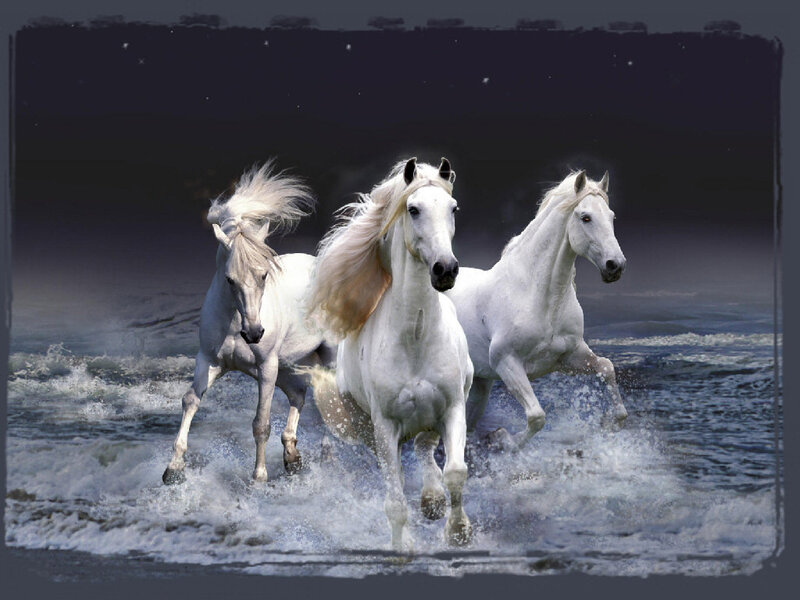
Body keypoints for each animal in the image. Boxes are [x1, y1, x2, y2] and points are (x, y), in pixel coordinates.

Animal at [162, 162, 337, 485]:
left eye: (264, 274)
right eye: (230, 279)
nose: (254, 333)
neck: (234, 324)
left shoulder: (266, 367)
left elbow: (261, 423)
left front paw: (259, 478)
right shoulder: (210, 360)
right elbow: (190, 400)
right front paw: (173, 469)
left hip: (325, 357)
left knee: (329, 402)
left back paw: (326, 456)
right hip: (289, 364)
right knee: (299, 394)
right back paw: (292, 457)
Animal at [305, 158, 474, 552]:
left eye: (453, 208)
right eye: (413, 209)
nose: (445, 270)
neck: (415, 338)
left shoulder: (453, 407)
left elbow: (455, 473)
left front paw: (458, 532)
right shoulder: (385, 426)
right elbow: (395, 500)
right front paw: (403, 548)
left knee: (425, 447)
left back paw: (432, 501)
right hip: (367, 427)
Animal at [445, 170, 628, 452]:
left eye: (611, 216)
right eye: (585, 217)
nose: (615, 266)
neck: (540, 297)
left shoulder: (568, 358)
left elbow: (607, 368)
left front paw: (608, 423)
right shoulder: (507, 363)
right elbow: (537, 416)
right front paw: (504, 439)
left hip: (480, 385)